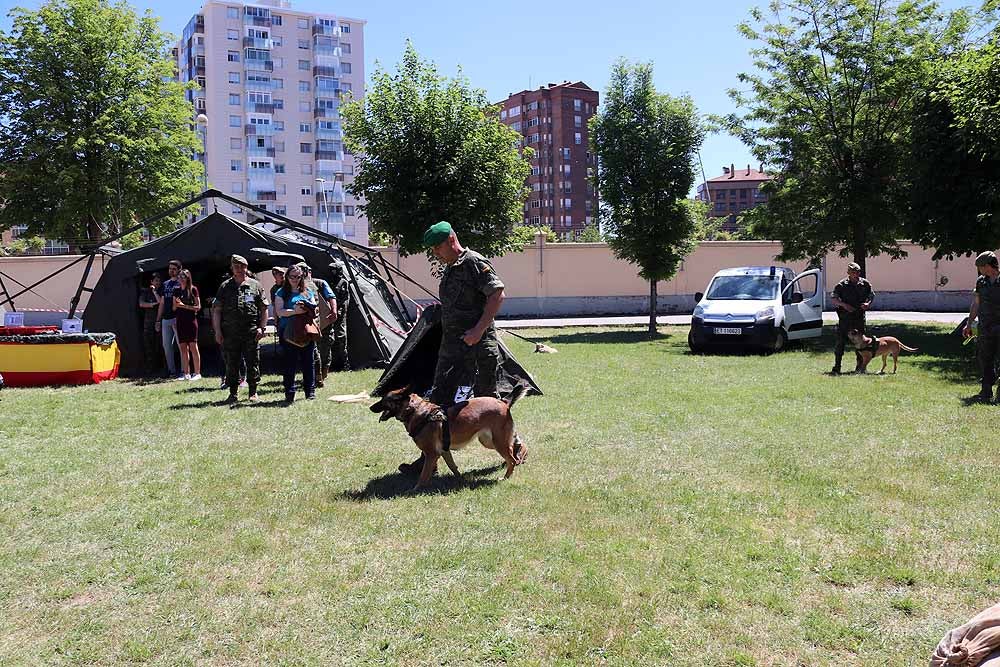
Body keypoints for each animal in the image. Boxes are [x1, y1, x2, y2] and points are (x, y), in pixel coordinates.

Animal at [370, 386, 528, 490]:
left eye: (383, 399)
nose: (370, 407)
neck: (416, 411)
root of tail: (503, 402)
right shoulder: (444, 451)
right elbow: (453, 467)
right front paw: (461, 479)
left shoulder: (432, 454)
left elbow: (423, 475)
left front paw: (416, 489)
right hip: (489, 441)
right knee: (514, 446)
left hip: (497, 442)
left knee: (512, 460)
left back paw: (506, 477)